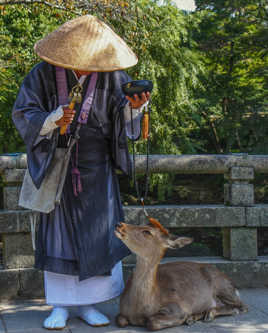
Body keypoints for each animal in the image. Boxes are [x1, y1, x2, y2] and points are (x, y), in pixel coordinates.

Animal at [114, 220, 248, 330]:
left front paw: (184, 317)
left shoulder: (176, 307)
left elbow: (151, 322)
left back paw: (208, 314)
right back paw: (193, 318)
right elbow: (120, 320)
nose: (119, 224)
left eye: (147, 231)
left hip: (223, 287)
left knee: (242, 306)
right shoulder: (122, 311)